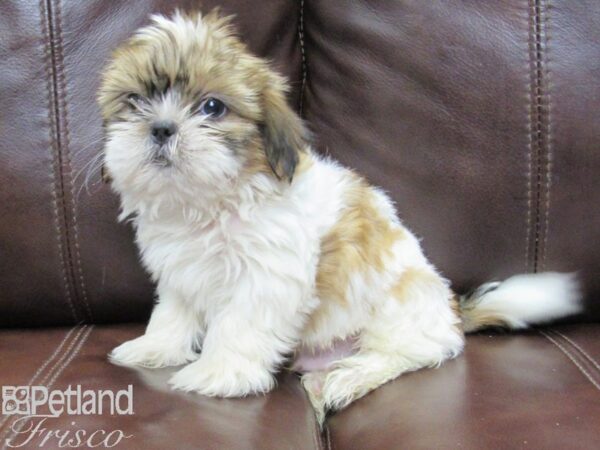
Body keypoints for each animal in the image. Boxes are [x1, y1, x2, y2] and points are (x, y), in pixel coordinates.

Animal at [98, 11, 580, 426]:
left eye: (212, 108)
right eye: (135, 101)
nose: (161, 128)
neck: (209, 203)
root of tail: (452, 310)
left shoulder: (265, 278)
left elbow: (238, 325)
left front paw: (218, 373)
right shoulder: (180, 272)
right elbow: (173, 314)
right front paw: (154, 347)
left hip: (401, 306)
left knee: (405, 354)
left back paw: (348, 378)